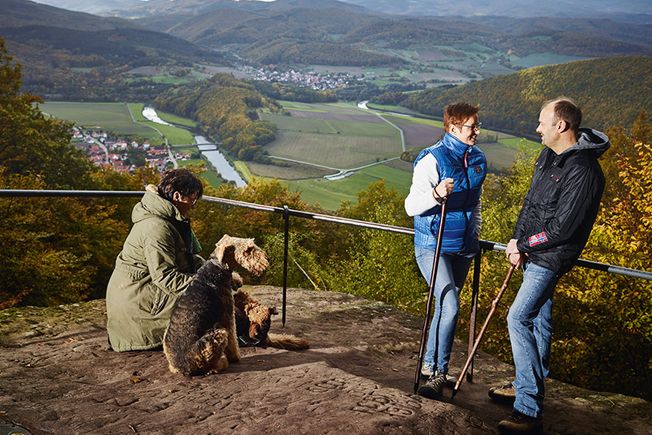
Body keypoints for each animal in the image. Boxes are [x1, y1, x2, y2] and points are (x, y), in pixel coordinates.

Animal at [164, 237, 268, 376]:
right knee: (209, 366)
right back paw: (222, 363)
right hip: (218, 334)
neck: (217, 268)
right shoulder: (228, 317)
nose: (266, 258)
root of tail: (183, 368)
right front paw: (236, 357)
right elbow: (233, 342)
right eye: (248, 250)